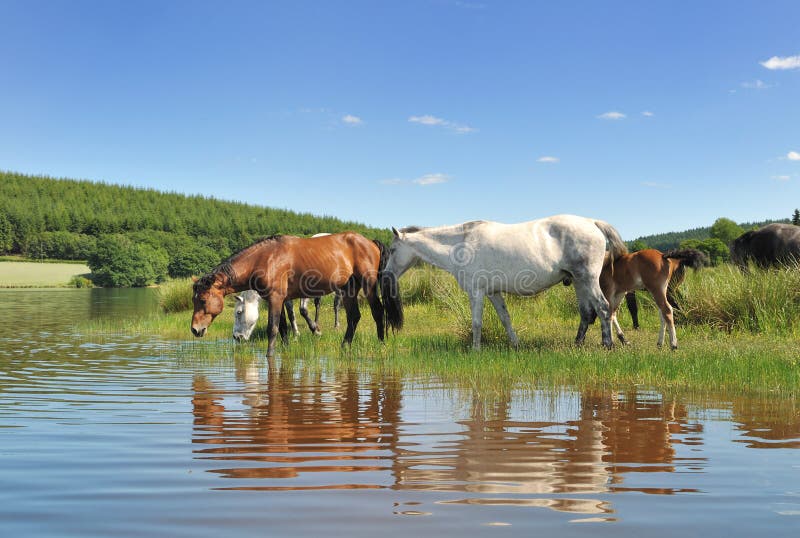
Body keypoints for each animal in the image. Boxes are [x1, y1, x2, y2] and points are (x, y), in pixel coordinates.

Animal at [191, 233, 403, 356]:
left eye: (202, 300)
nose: (195, 330)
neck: (265, 259)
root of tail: (370, 242)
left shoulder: (276, 298)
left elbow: (273, 328)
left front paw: (270, 356)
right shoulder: (280, 299)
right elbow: (284, 328)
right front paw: (285, 349)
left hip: (368, 286)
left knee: (377, 312)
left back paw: (381, 344)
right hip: (349, 290)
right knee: (354, 317)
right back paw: (345, 346)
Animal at [383, 215, 628, 350]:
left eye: (393, 250)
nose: (386, 274)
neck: (461, 244)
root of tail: (590, 222)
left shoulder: (476, 292)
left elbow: (477, 323)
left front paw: (476, 350)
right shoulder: (493, 293)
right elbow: (505, 319)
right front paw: (515, 345)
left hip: (588, 279)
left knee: (603, 308)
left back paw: (608, 344)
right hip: (579, 282)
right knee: (586, 313)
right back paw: (577, 344)